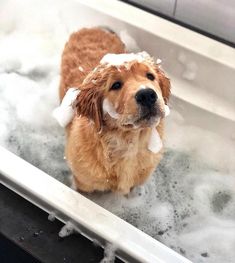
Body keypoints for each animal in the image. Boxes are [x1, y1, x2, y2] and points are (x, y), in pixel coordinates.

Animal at [57, 27, 170, 195]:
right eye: (116, 85)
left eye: (150, 76)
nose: (147, 95)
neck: (129, 142)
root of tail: (92, 28)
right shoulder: (83, 183)